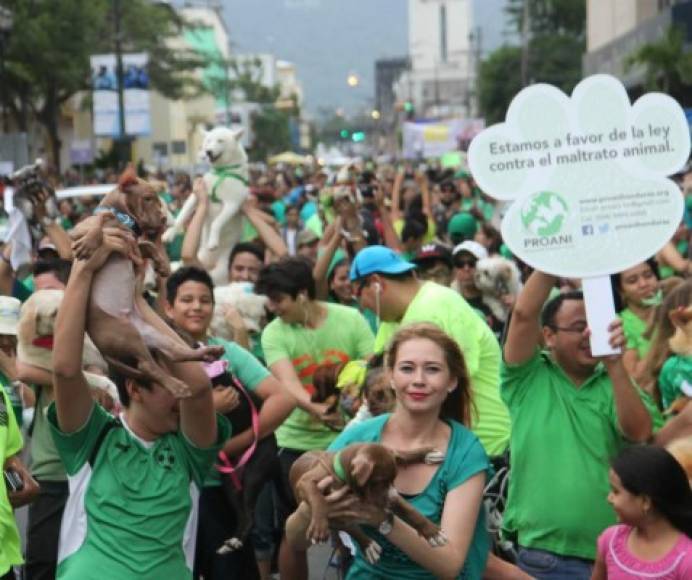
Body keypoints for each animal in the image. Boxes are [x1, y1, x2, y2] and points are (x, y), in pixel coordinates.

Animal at [70, 165, 222, 396]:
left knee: (174, 353)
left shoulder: (133, 244)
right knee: (146, 365)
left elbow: (147, 245)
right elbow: (100, 219)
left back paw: (206, 354)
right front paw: (90, 242)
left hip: (152, 335)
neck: (124, 220)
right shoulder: (78, 230)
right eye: (149, 198)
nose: (164, 220)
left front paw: (162, 264)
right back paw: (177, 387)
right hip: (127, 335)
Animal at [162, 125, 249, 284]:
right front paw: (169, 233)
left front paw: (213, 242)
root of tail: (209, 263)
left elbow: (217, 222)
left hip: (224, 263)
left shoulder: (233, 203)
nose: (208, 151)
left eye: (220, 140)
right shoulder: (197, 194)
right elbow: (182, 215)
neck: (222, 172)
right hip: (198, 256)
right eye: (208, 140)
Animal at [288, 444, 446, 560]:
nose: (393, 497)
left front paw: (433, 532)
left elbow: (410, 511)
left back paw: (426, 452)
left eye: (392, 480)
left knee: (398, 453)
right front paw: (367, 544)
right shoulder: (308, 483)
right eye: (379, 482)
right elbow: (321, 500)